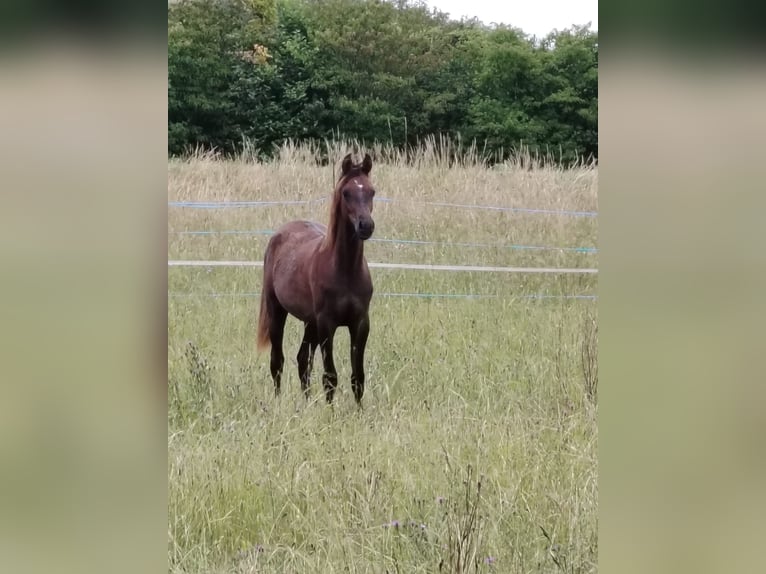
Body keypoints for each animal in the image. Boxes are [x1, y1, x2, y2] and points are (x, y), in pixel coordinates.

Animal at [256, 153, 376, 405]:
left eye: (372, 191)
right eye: (346, 193)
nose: (366, 226)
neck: (345, 269)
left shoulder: (361, 323)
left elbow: (357, 377)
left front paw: (359, 411)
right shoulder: (326, 323)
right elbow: (330, 377)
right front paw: (330, 412)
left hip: (309, 321)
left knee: (303, 360)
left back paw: (306, 402)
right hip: (277, 311)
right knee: (277, 361)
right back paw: (279, 402)